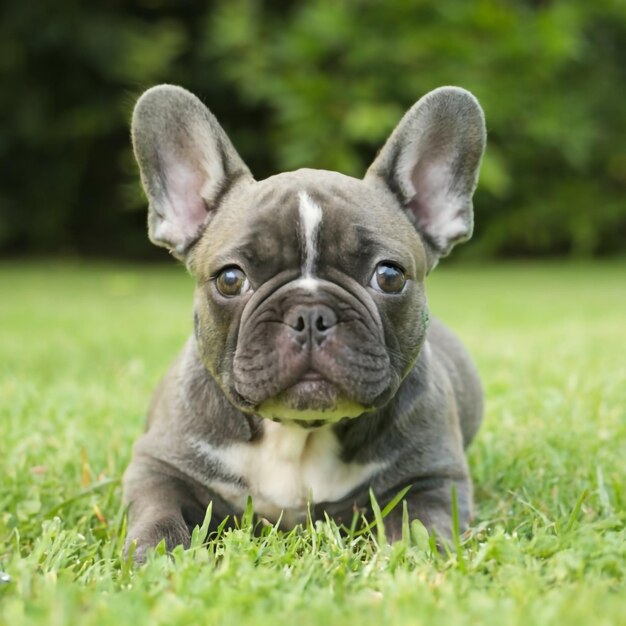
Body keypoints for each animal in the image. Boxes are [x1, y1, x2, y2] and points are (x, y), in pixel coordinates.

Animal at [122, 84, 482, 560]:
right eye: (231, 279)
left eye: (389, 275)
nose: (310, 315)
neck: (299, 435)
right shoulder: (158, 464)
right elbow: (158, 511)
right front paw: (156, 556)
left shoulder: (433, 476)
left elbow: (421, 524)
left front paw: (416, 559)